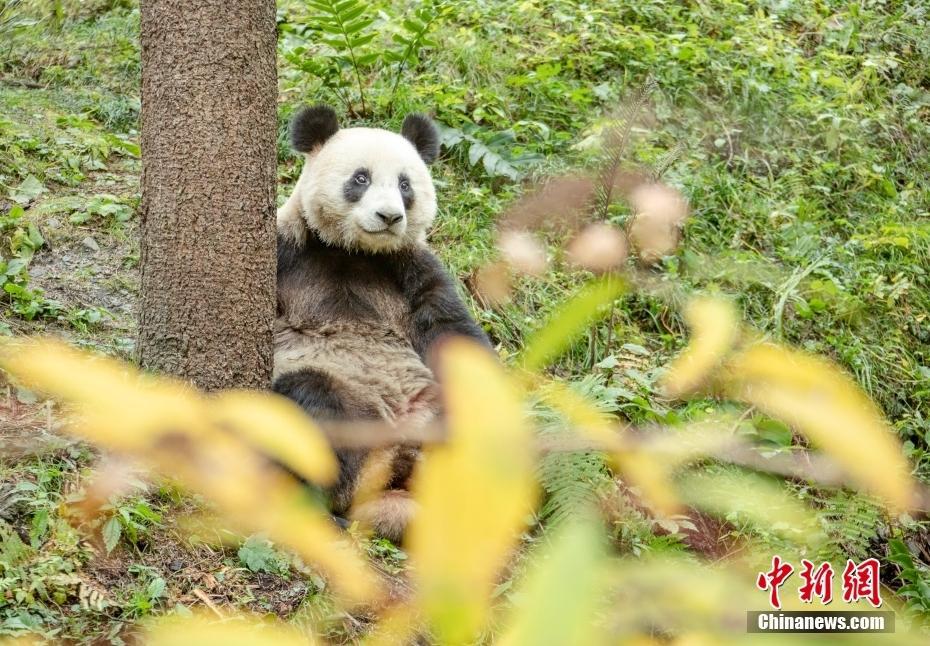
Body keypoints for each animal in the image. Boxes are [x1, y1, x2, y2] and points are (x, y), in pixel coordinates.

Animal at [272, 105, 490, 540]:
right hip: (354, 405)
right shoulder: (291, 251)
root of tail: (396, 461)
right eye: (361, 178)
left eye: (405, 184)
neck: (355, 252)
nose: (389, 217)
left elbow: (450, 328)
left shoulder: (409, 268)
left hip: (430, 406)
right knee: (314, 404)